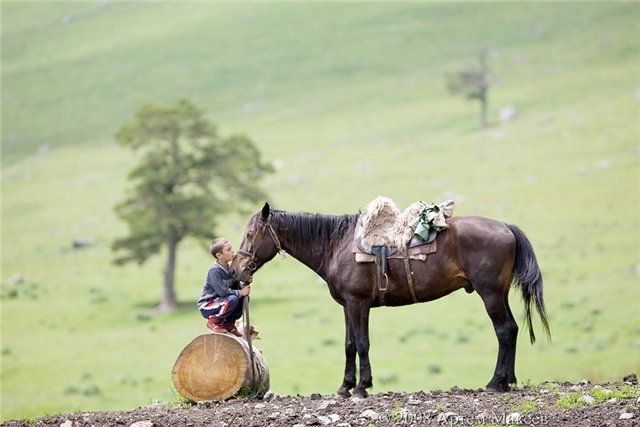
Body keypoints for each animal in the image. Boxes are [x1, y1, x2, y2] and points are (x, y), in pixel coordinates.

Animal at [230, 202, 550, 398]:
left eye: (250, 233)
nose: (236, 271)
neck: (337, 245)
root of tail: (506, 227)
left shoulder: (359, 303)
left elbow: (362, 344)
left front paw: (362, 387)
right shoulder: (347, 306)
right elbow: (349, 345)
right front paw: (345, 387)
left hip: (490, 294)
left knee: (504, 331)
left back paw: (496, 383)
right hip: (499, 294)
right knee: (511, 330)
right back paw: (507, 380)